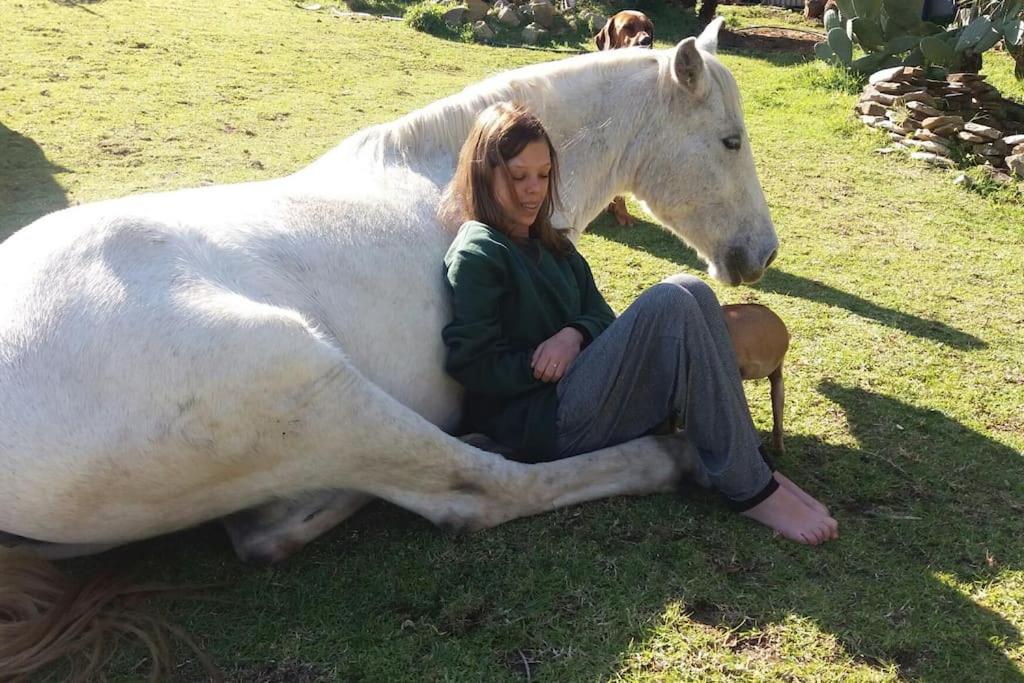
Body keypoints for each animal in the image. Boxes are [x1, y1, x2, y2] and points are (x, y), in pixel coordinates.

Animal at [0, 15, 774, 609]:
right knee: (480, 491)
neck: (454, 183)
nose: (761, 251)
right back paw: (654, 458)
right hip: (318, 386)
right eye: (730, 140)